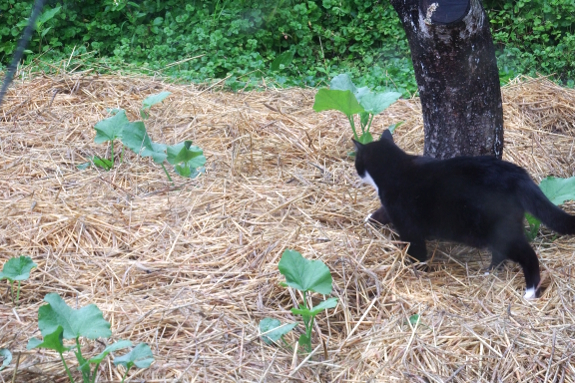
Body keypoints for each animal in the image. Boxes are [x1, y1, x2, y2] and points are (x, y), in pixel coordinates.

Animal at [354, 132, 575, 300]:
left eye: (357, 161)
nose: (356, 171)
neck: (396, 166)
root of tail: (515, 173)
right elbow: (382, 213)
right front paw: (369, 219)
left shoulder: (408, 224)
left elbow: (416, 252)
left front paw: (416, 271)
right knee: (501, 252)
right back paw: (490, 271)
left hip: (498, 229)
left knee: (527, 254)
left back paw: (530, 291)